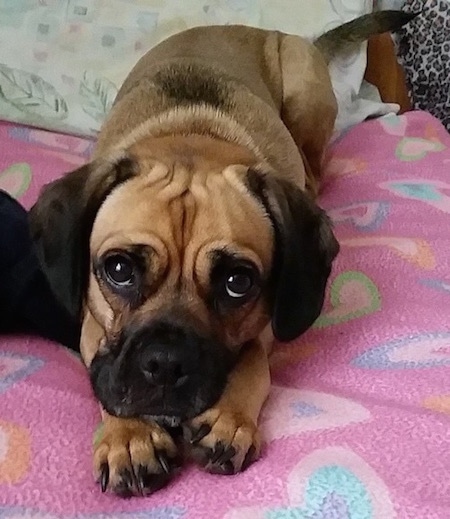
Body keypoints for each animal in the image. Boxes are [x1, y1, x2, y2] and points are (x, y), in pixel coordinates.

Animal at [29, 10, 414, 498]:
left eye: (237, 283)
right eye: (118, 269)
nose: (164, 363)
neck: (191, 137)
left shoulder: (262, 330)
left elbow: (250, 362)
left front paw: (230, 417)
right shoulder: (92, 328)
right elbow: (106, 373)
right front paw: (129, 436)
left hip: (305, 95)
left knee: (313, 167)